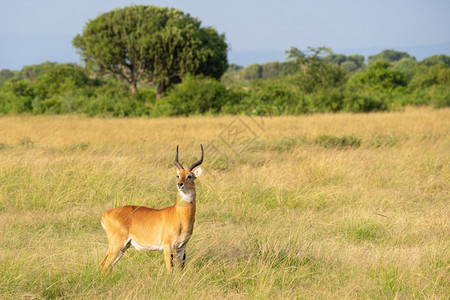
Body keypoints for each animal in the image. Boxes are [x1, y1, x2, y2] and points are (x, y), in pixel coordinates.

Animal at [100, 145, 204, 274]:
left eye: (189, 176)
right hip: (117, 245)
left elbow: (180, 269)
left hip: (123, 247)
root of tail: (106, 213)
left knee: (108, 266)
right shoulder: (167, 246)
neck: (180, 216)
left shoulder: (182, 247)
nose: (180, 184)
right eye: (178, 175)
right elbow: (170, 270)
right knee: (104, 265)